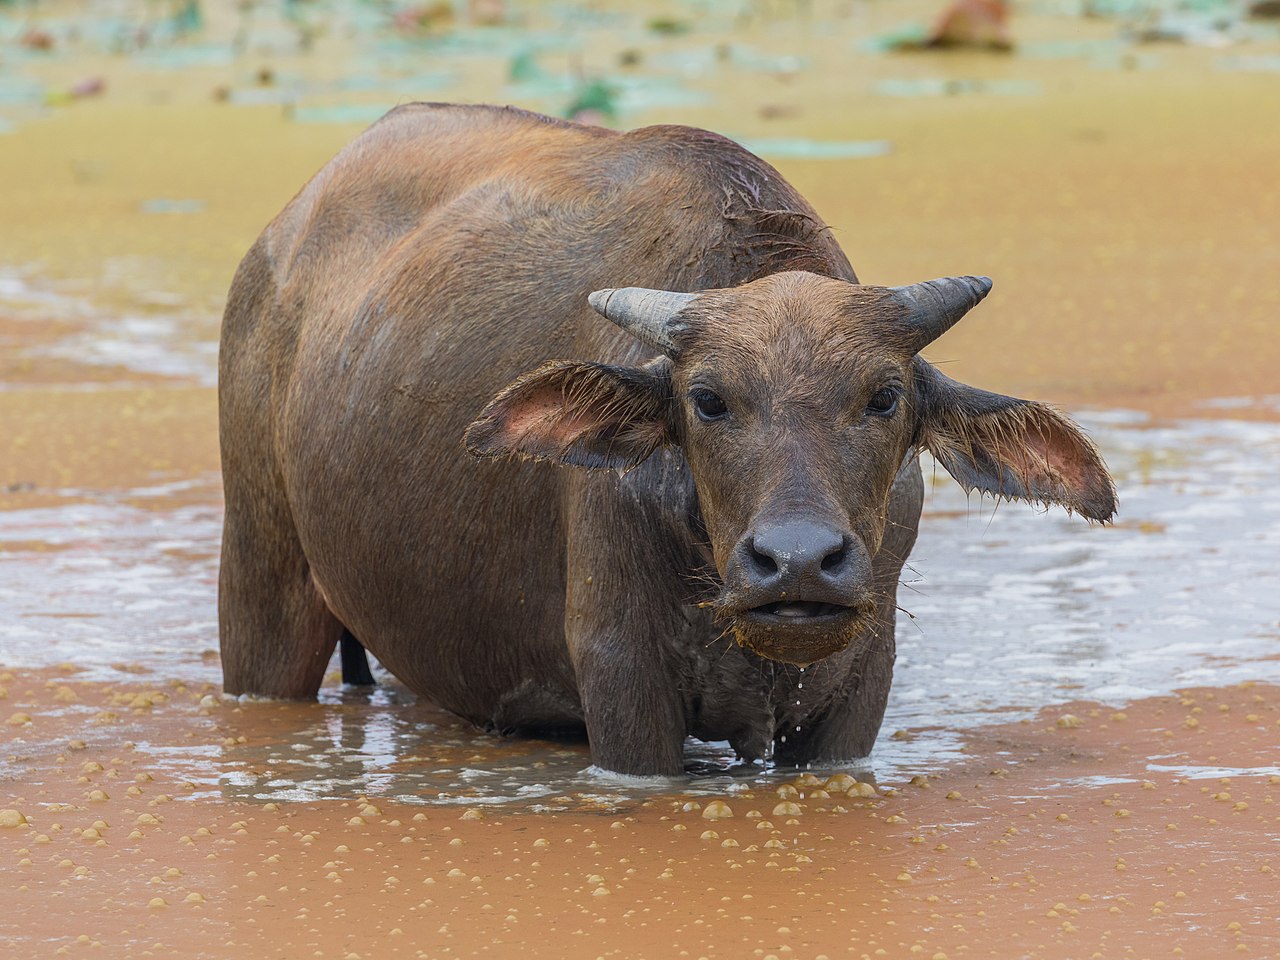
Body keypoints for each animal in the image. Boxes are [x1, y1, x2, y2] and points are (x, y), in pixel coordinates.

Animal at [217, 103, 1111, 773]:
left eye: (884, 397)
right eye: (708, 400)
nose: (797, 562)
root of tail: (275, 250)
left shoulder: (858, 689)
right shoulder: (623, 683)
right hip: (261, 579)